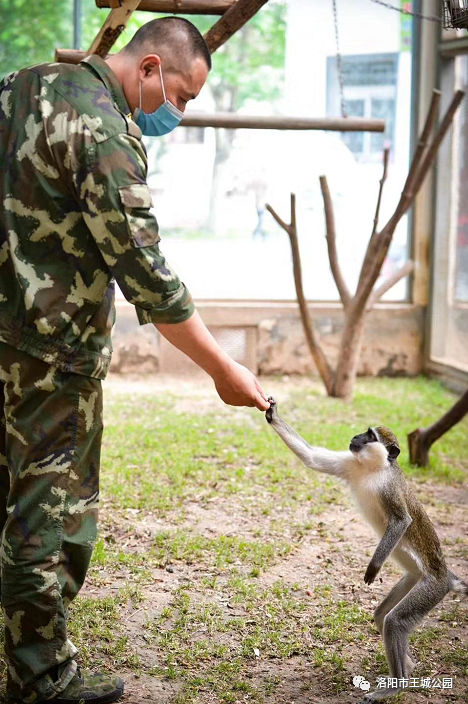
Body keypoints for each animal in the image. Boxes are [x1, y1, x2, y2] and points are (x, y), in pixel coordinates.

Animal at [266, 398, 466, 700]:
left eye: (370, 436)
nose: (356, 437)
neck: (372, 469)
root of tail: (446, 576)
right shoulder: (351, 464)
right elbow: (311, 458)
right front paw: (272, 415)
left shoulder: (389, 488)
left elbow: (402, 521)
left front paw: (374, 566)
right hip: (414, 578)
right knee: (384, 616)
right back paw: (407, 665)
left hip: (432, 588)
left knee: (396, 622)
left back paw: (397, 685)